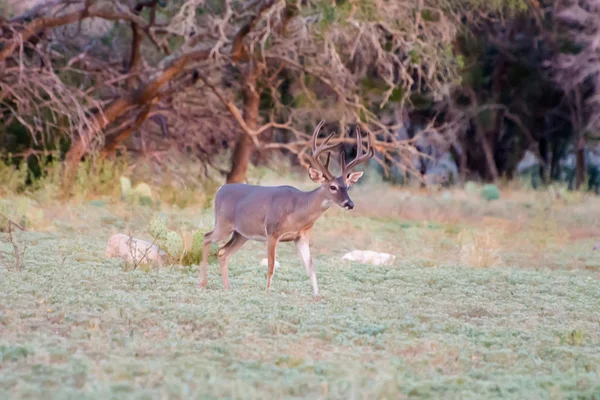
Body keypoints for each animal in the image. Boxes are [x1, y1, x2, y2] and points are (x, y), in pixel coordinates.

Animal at [199, 120, 372, 298]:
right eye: (333, 187)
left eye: (347, 187)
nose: (349, 204)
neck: (298, 210)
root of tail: (220, 189)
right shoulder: (272, 232)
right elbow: (271, 266)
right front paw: (267, 292)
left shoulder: (302, 236)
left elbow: (310, 267)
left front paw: (317, 296)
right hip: (223, 224)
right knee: (206, 237)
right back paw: (203, 283)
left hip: (241, 234)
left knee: (222, 252)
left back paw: (227, 288)